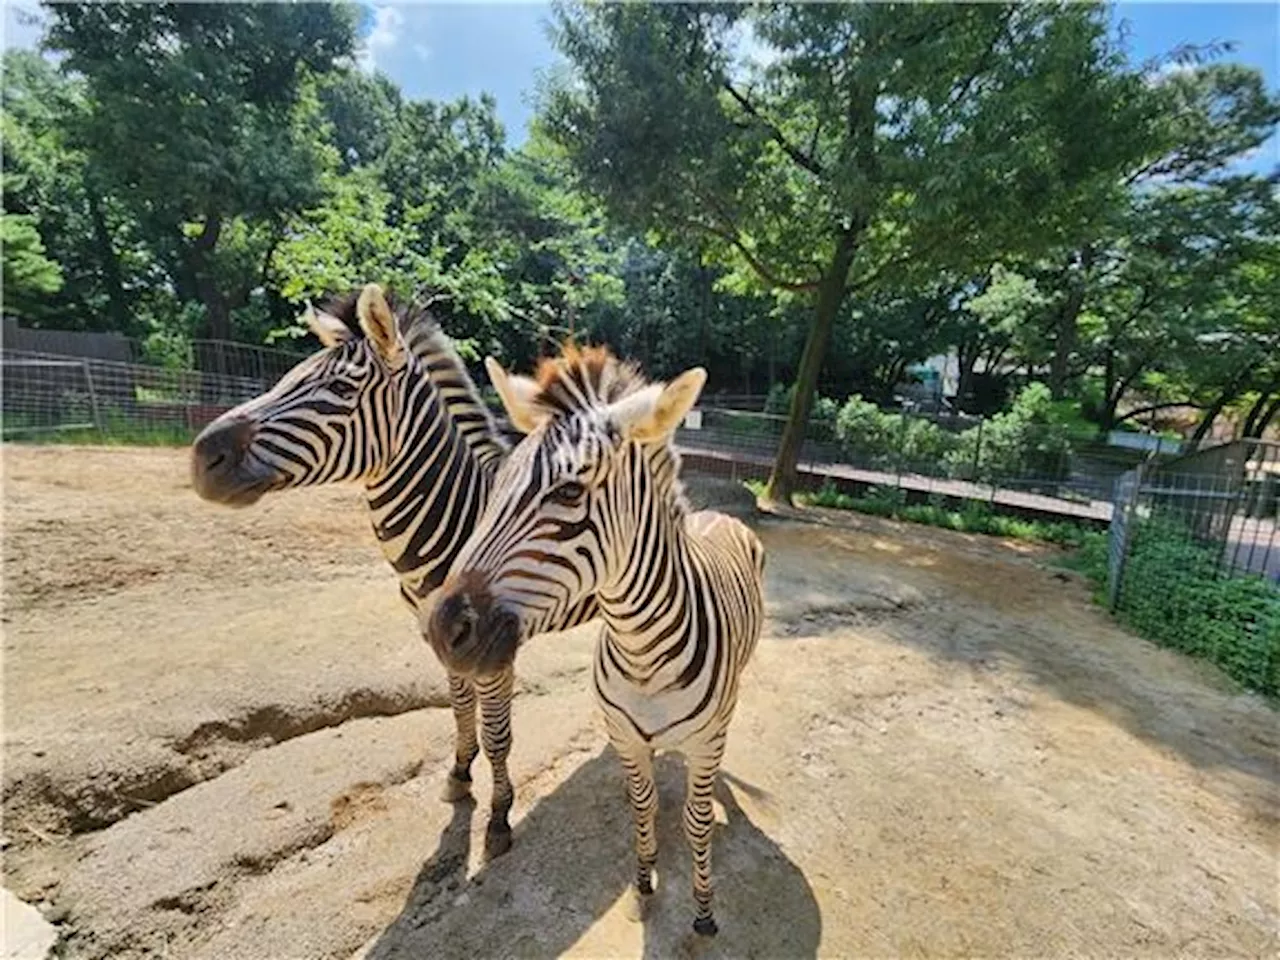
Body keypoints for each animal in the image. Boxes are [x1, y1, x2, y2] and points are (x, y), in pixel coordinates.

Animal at [186, 281, 596, 860]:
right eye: (287, 377)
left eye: (339, 386)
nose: (203, 458)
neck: (457, 522)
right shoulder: (439, 636)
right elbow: (459, 709)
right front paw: (459, 774)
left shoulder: (493, 650)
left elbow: (498, 733)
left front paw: (498, 818)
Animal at [424, 345, 762, 942]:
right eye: (499, 482)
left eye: (569, 491)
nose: (445, 630)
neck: (643, 650)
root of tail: (718, 512)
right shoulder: (625, 736)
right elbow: (642, 809)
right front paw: (645, 882)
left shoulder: (704, 744)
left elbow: (698, 823)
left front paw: (703, 910)